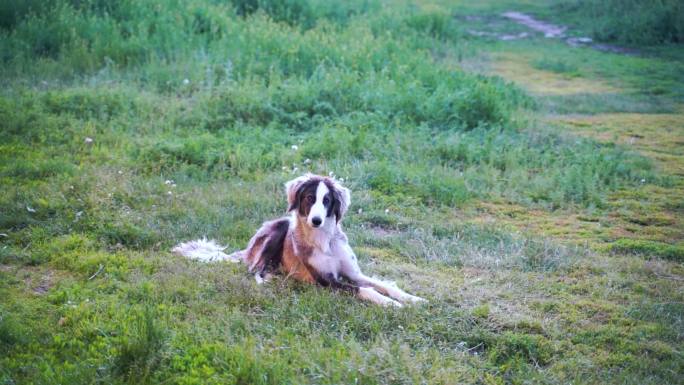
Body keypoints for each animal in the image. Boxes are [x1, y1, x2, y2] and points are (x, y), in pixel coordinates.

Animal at [174, 174, 424, 306]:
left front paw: (412, 299)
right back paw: (271, 278)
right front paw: (393, 304)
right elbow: (367, 291)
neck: (325, 240)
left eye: (327, 200)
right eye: (309, 198)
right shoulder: (327, 281)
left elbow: (384, 285)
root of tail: (247, 249)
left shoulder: (354, 274)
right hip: (280, 226)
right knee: (254, 270)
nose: (316, 220)